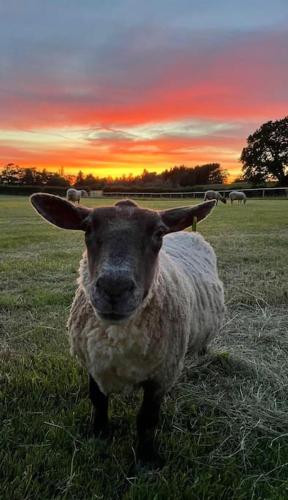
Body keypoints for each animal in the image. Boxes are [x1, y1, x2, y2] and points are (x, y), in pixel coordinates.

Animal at [30, 194, 226, 464]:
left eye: (159, 232)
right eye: (87, 228)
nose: (114, 287)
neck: (117, 334)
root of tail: (190, 233)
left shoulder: (161, 375)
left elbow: (147, 419)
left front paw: (146, 458)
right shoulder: (93, 362)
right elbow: (98, 401)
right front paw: (99, 435)